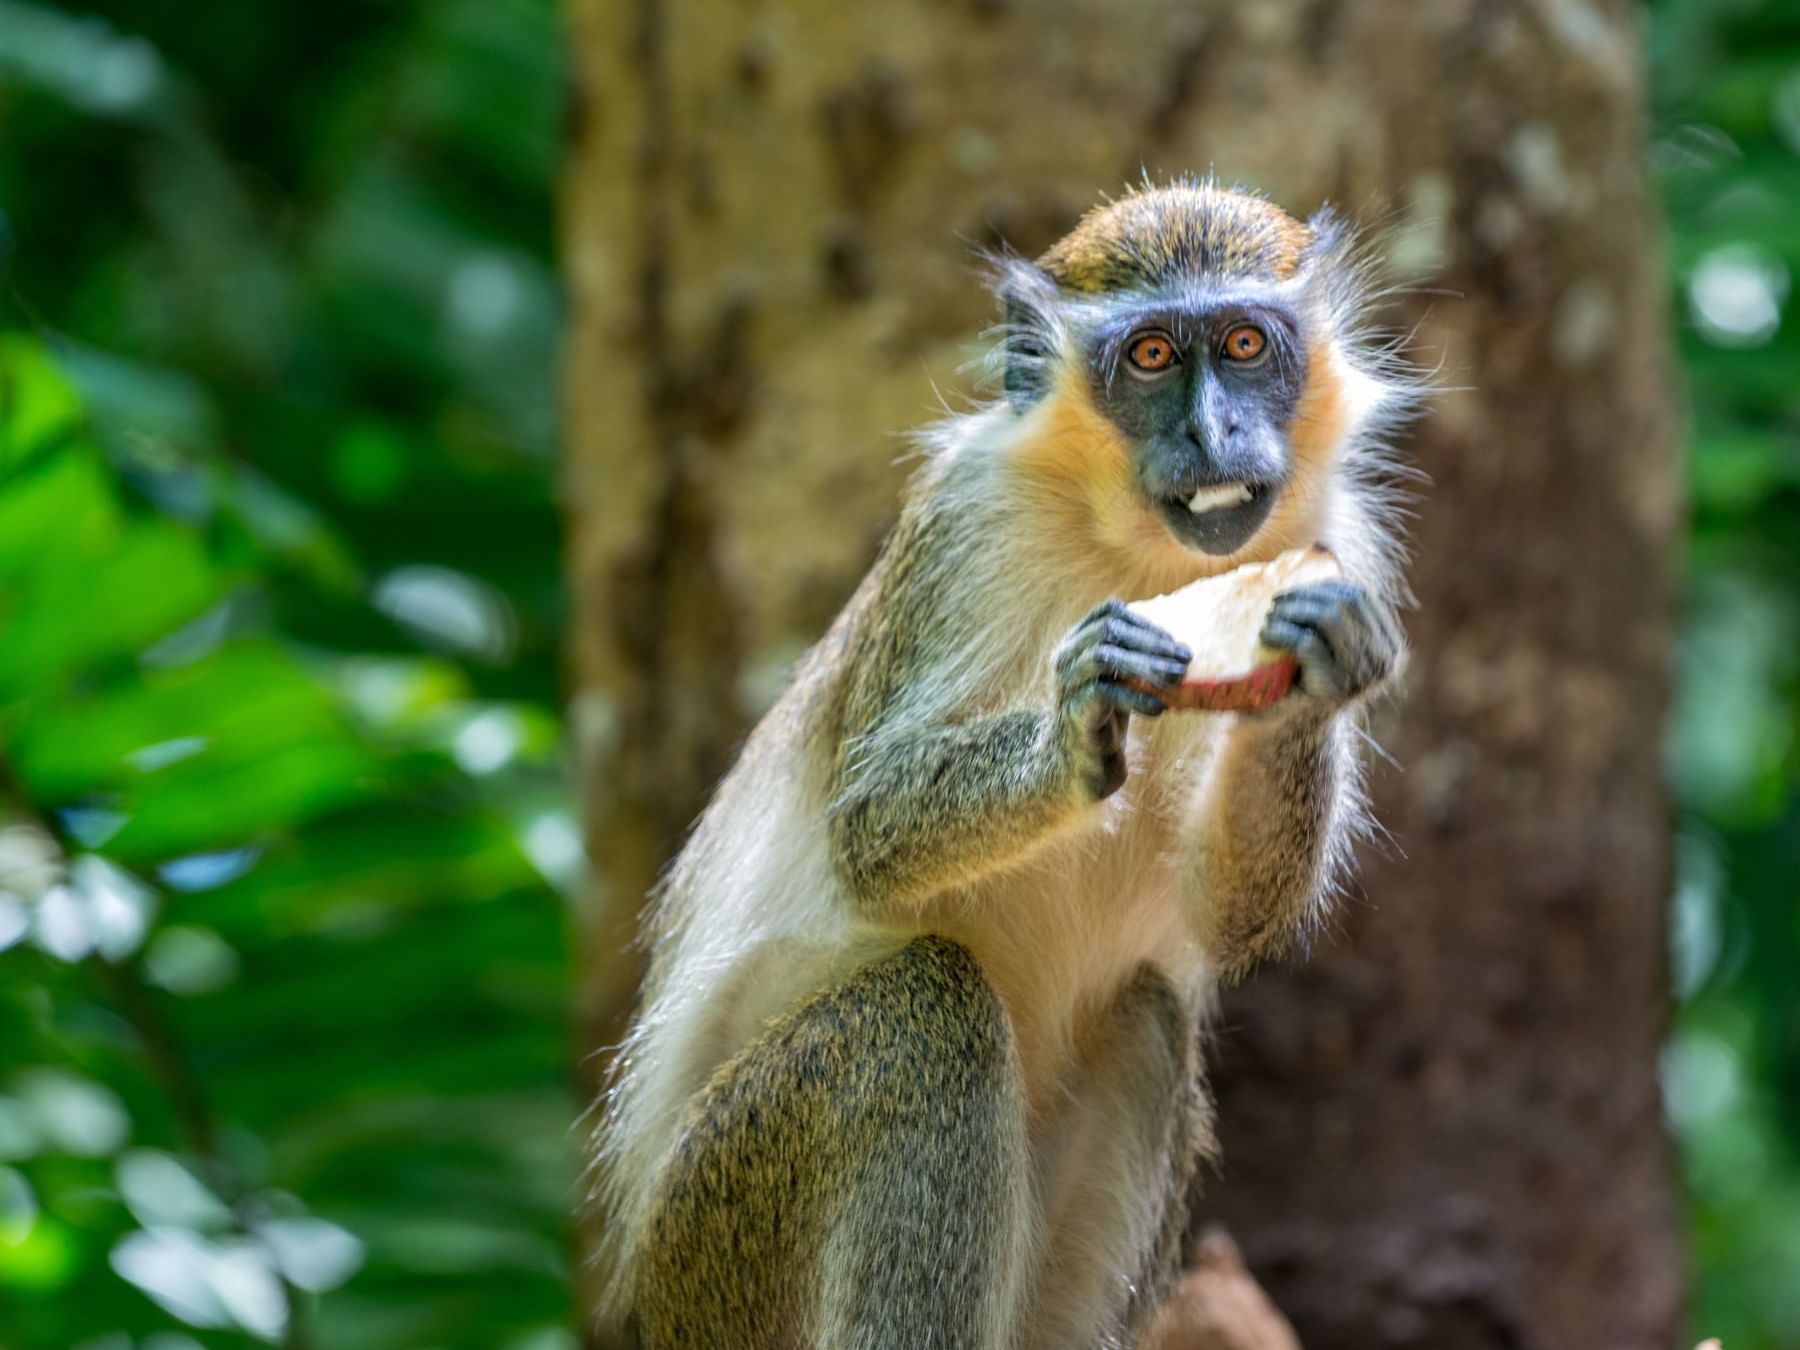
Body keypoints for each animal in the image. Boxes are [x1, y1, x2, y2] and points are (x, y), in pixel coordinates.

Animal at [590, 182, 1418, 1350]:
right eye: (1152, 356)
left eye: (1247, 344)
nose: (1216, 432)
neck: (1139, 550)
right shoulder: (965, 522)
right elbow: (869, 828)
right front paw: (1075, 725)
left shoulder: (1340, 535)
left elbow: (1225, 911)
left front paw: (1319, 660)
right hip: (720, 1235)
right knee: (922, 1017)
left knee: (1148, 1019)